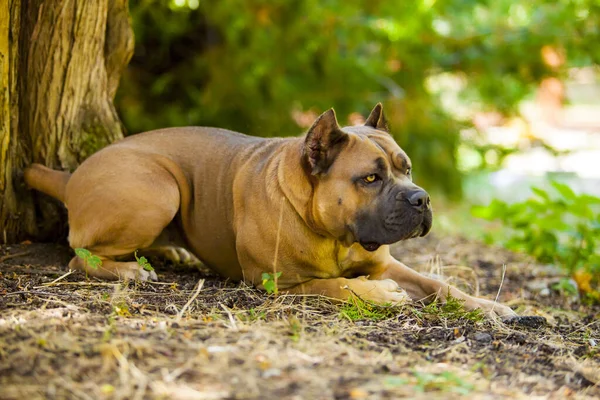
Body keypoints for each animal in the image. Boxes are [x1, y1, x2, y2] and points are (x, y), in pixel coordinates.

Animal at [24, 104, 516, 318]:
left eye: (406, 168)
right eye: (370, 179)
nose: (421, 198)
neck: (332, 234)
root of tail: (72, 174)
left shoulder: (385, 263)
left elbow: (438, 283)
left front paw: (489, 306)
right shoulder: (281, 281)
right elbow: (335, 285)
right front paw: (379, 295)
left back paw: (170, 253)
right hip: (158, 188)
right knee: (78, 255)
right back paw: (131, 271)